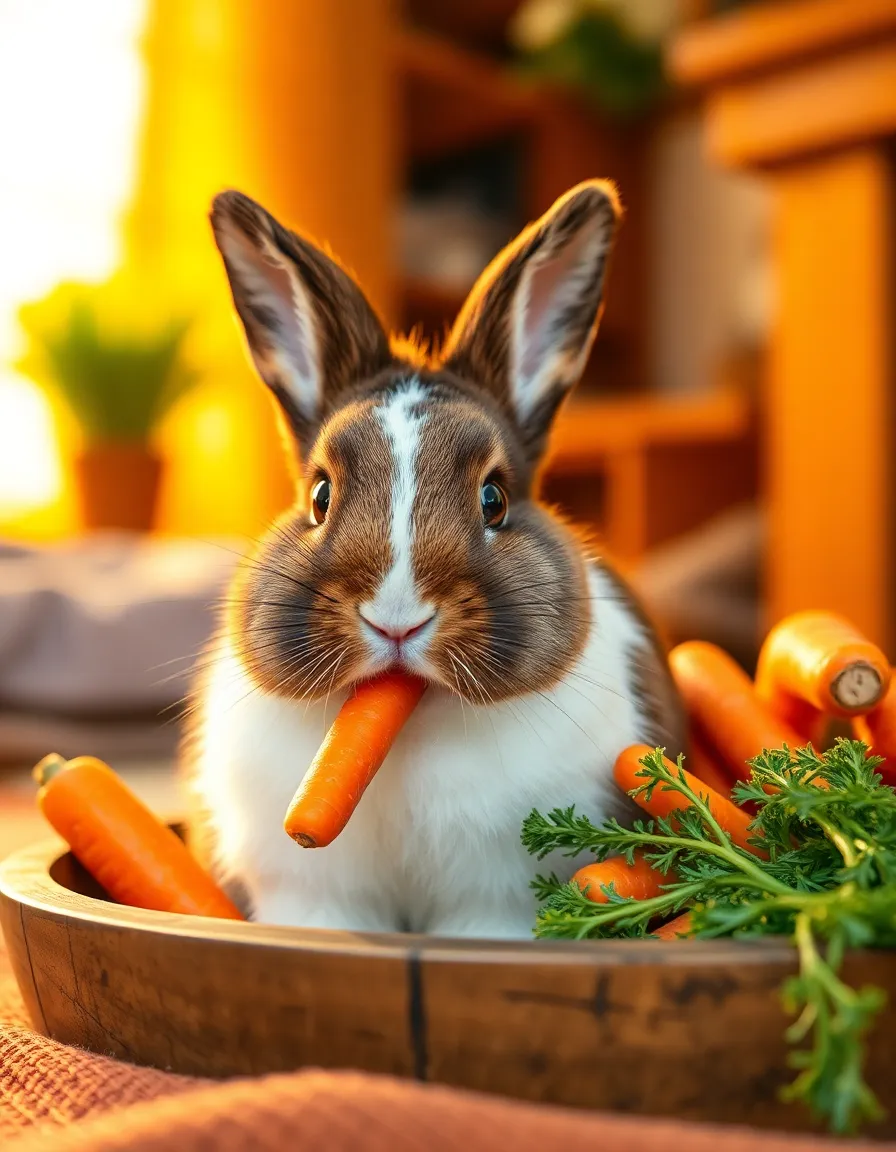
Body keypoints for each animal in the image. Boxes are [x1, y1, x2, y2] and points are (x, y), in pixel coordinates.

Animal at [182, 180, 686, 938]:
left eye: (494, 499)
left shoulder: (494, 905)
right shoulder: (311, 894)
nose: (396, 619)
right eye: (321, 496)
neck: (406, 727)